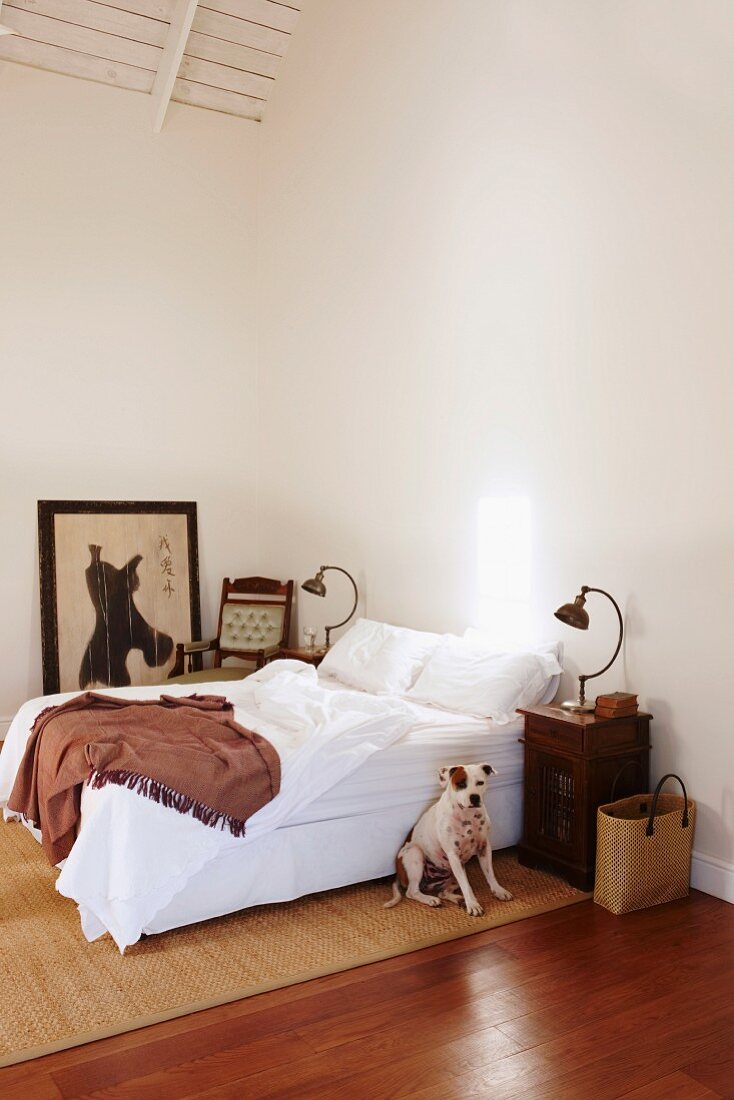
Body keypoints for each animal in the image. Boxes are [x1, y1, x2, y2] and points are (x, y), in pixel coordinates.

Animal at [385, 761, 510, 915]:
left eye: (480, 782)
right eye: (461, 783)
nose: (474, 797)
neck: (467, 815)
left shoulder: (484, 848)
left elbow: (490, 873)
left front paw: (498, 890)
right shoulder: (453, 854)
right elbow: (467, 886)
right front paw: (473, 904)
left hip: (453, 875)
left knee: (443, 892)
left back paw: (459, 900)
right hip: (415, 853)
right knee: (412, 891)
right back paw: (431, 900)